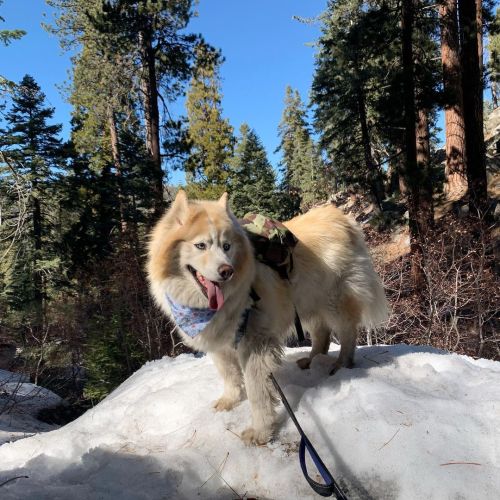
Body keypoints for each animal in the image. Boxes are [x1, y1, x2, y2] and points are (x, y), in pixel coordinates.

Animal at [145, 191, 386, 446]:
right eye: (201, 245)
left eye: (226, 246)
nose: (226, 271)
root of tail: (342, 218)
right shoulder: (219, 343)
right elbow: (229, 375)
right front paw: (229, 401)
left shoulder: (255, 344)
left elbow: (256, 392)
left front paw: (260, 432)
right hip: (307, 305)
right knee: (322, 335)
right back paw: (311, 362)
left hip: (334, 303)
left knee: (348, 333)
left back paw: (340, 365)